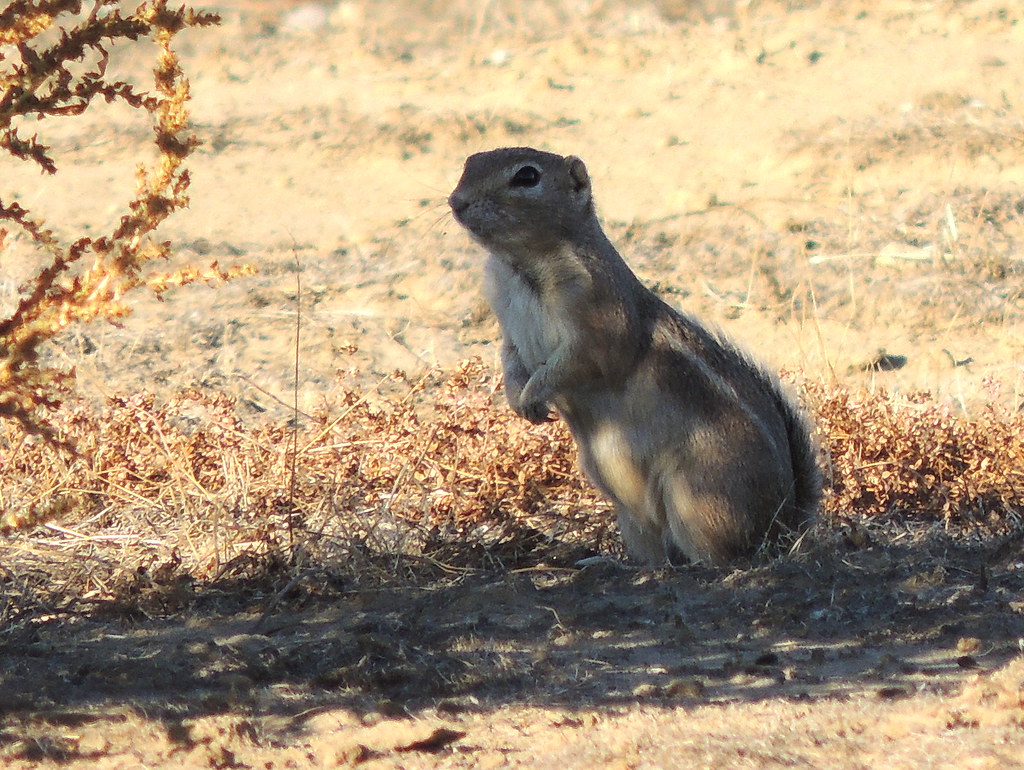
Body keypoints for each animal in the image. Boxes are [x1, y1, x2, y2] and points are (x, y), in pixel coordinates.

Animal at [448, 147, 821, 566]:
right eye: (469, 162)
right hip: (630, 514)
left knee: (718, 554)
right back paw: (606, 561)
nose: (456, 202)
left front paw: (533, 396)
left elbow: (576, 362)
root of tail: (783, 525)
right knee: (656, 553)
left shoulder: (600, 323)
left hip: (696, 499)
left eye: (527, 177)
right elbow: (510, 360)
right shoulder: (509, 328)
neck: (522, 265)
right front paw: (518, 400)